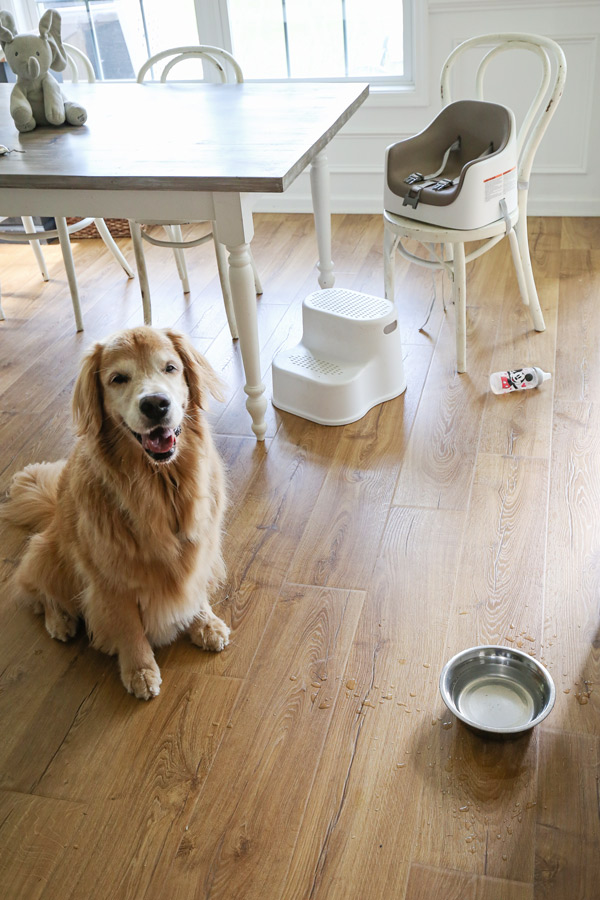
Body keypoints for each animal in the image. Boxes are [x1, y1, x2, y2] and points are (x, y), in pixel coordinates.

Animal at [1, 326, 230, 700]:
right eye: (118, 379)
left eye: (170, 368)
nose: (155, 404)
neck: (160, 486)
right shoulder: (111, 578)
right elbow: (128, 626)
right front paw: (140, 670)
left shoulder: (200, 547)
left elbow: (194, 589)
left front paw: (204, 623)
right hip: (49, 554)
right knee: (38, 591)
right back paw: (60, 620)